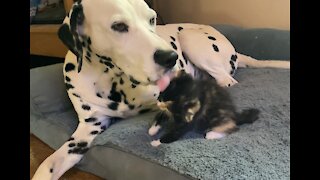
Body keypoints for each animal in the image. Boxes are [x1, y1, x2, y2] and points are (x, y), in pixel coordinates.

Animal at [32, 0, 290, 180]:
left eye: (152, 19)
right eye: (118, 26)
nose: (171, 57)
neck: (112, 80)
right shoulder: (87, 130)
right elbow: (48, 165)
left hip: (191, 39)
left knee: (227, 81)